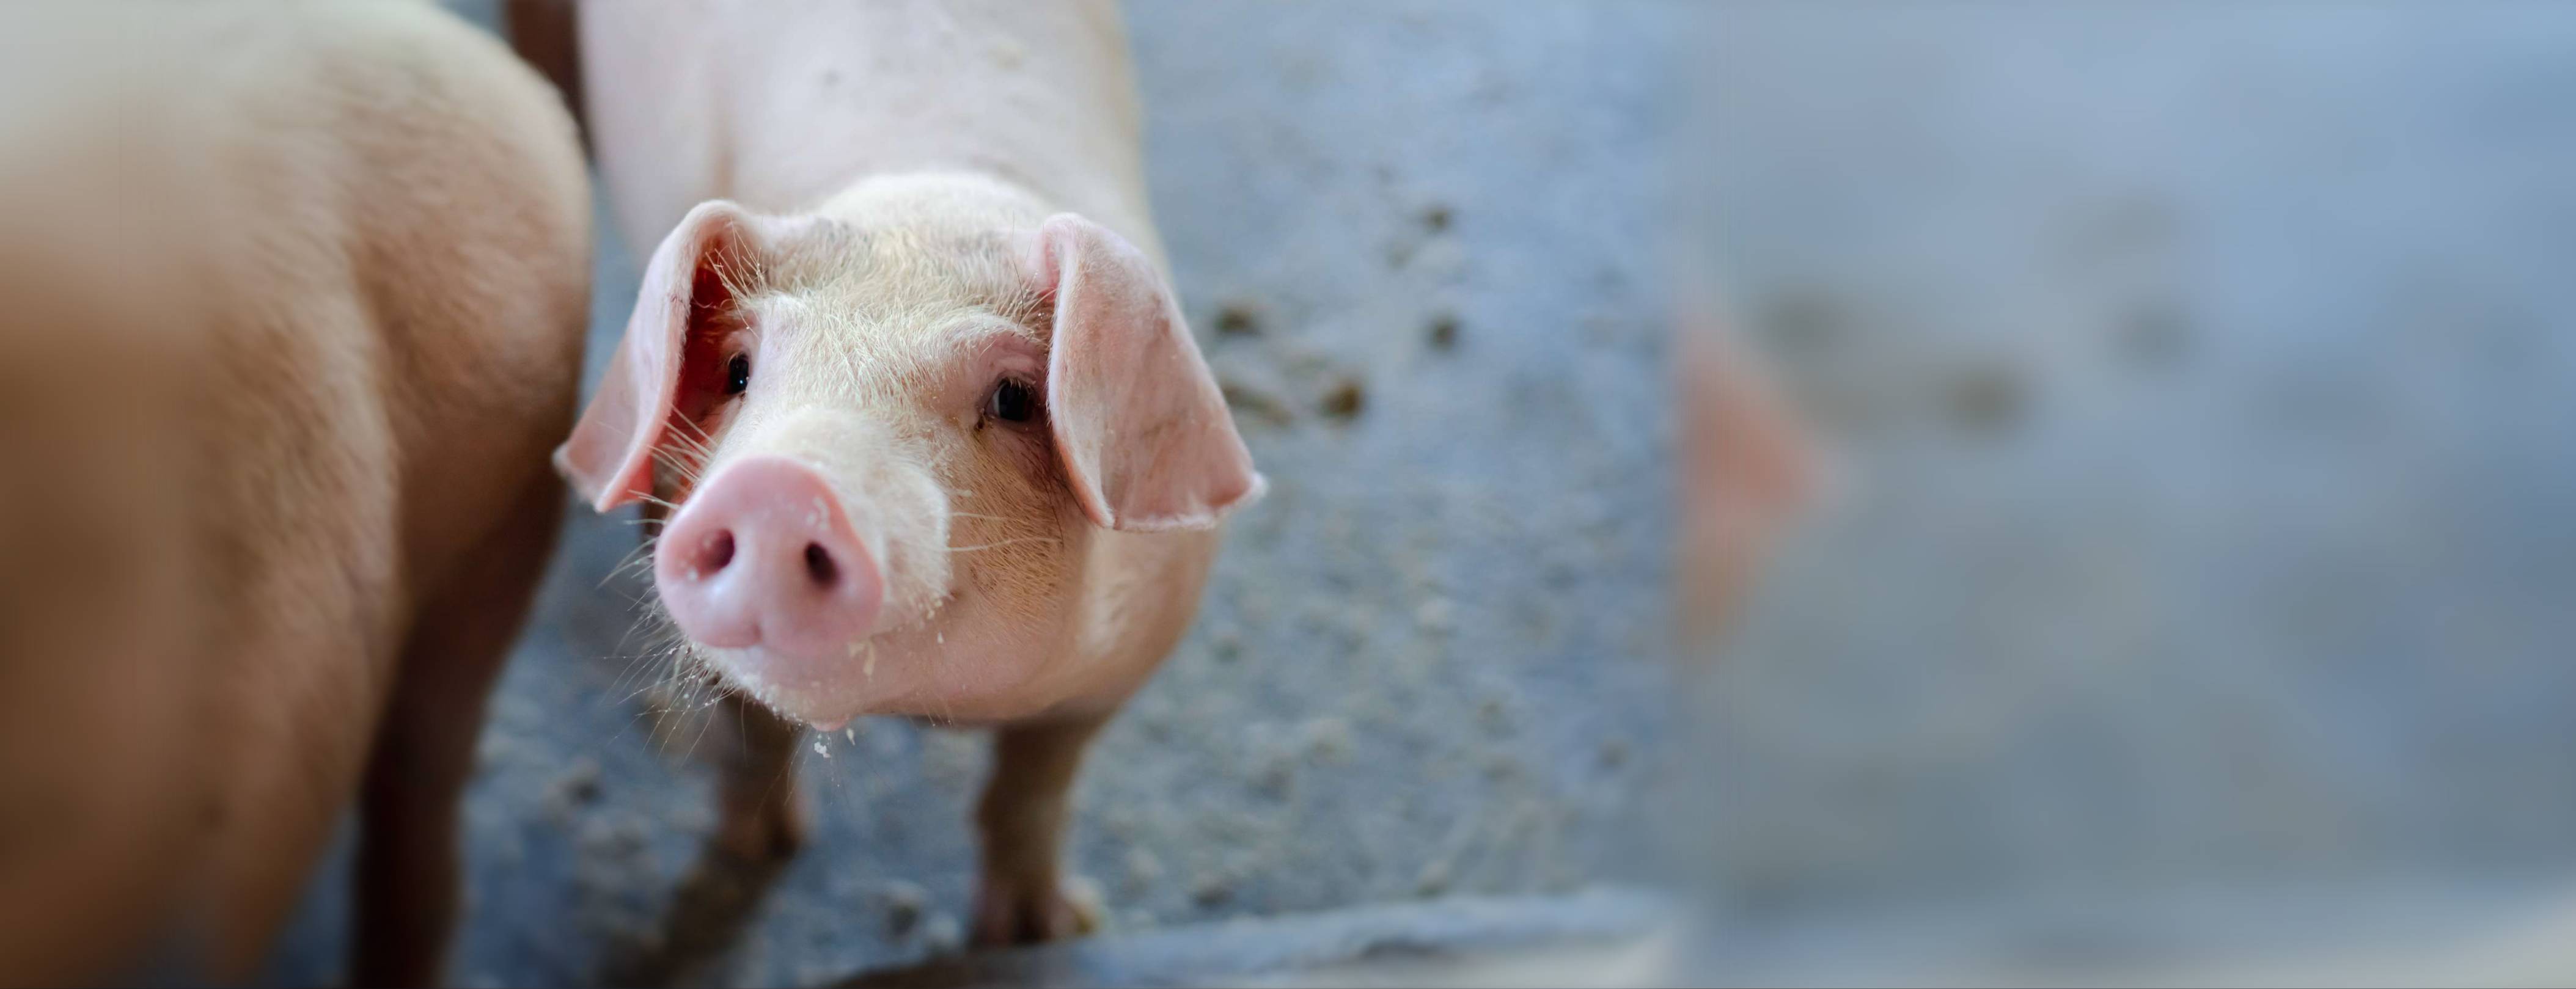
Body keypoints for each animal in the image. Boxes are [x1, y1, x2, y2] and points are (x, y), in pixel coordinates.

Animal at [516, 0, 1262, 945]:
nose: (781, 487)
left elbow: (1034, 787)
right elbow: (749, 735)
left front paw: (1045, 930)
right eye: (739, 370)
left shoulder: (1122, 668)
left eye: (1016, 396)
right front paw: (757, 849)